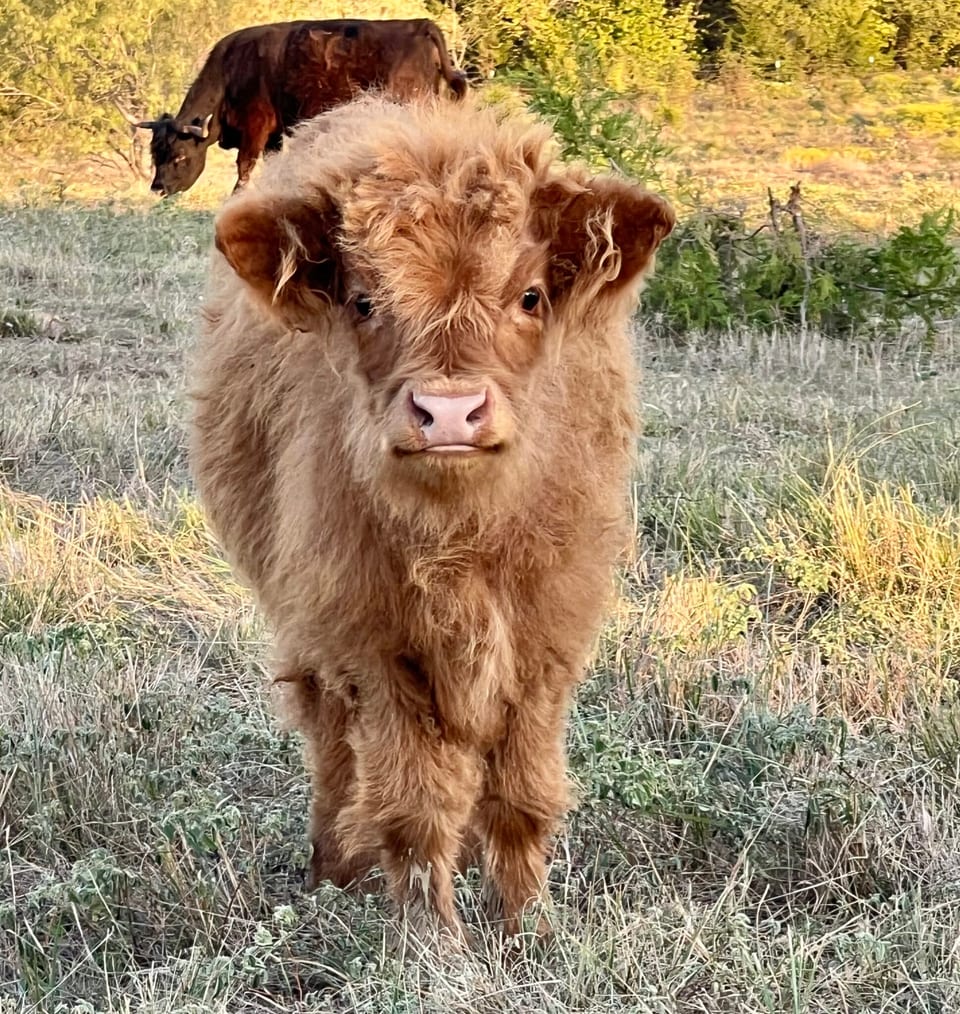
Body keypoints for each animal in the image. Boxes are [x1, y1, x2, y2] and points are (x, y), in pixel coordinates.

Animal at [129, 19, 467, 197]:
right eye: (155, 153)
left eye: (179, 156)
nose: (157, 188)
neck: (230, 70)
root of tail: (420, 25)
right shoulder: (273, 135)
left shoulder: (256, 126)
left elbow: (244, 167)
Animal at [188, 96, 675, 946]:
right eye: (364, 301)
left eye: (529, 296)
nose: (449, 412)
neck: (461, 543)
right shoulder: (375, 647)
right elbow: (415, 806)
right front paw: (431, 939)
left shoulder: (546, 641)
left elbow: (521, 796)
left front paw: (528, 926)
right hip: (311, 631)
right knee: (333, 748)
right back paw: (332, 867)